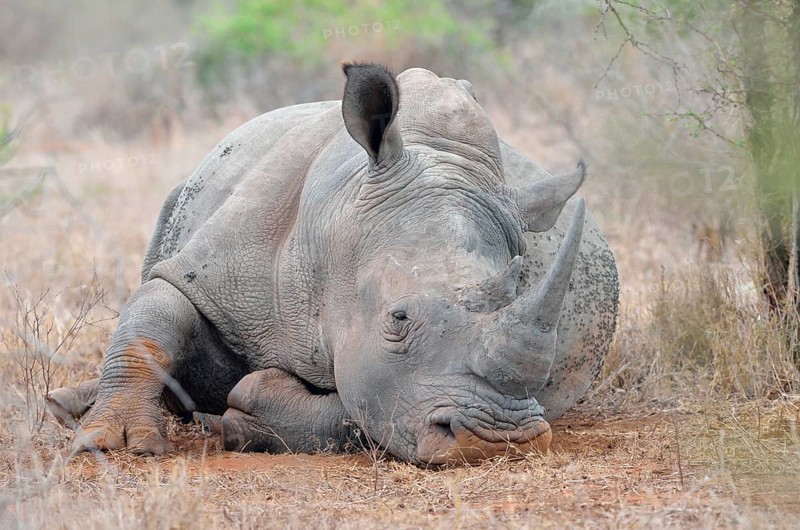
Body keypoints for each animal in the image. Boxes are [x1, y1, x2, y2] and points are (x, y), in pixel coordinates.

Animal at [48, 64, 618, 465]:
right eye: (398, 319)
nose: (496, 440)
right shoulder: (213, 267)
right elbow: (156, 316)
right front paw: (112, 442)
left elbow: (359, 412)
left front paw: (246, 412)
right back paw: (67, 406)